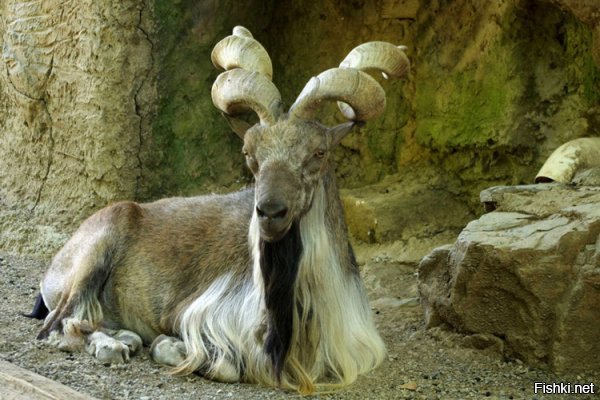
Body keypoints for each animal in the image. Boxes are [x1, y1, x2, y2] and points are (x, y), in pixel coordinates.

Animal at [30, 26, 410, 392]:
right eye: (249, 152)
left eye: (319, 152)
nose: (270, 213)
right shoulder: (196, 313)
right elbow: (222, 364)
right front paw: (170, 347)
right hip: (98, 246)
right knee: (59, 324)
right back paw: (112, 347)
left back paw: (125, 338)